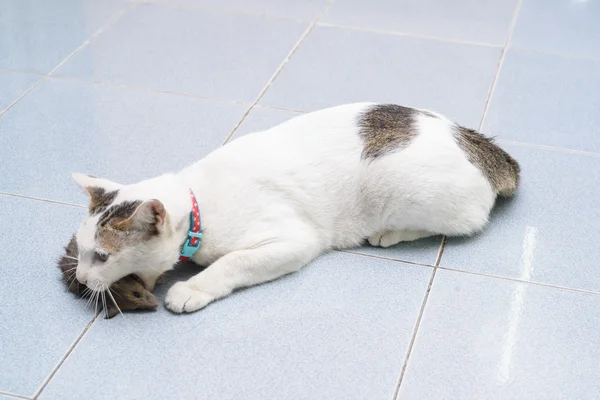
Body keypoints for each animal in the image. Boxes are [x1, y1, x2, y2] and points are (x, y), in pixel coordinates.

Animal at [71, 102, 520, 312]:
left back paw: (389, 232)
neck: (199, 207)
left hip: (404, 188)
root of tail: (478, 144)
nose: (79, 277)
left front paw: (192, 287)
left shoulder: (292, 239)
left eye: (102, 256)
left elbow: (231, 263)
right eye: (80, 250)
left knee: (467, 221)